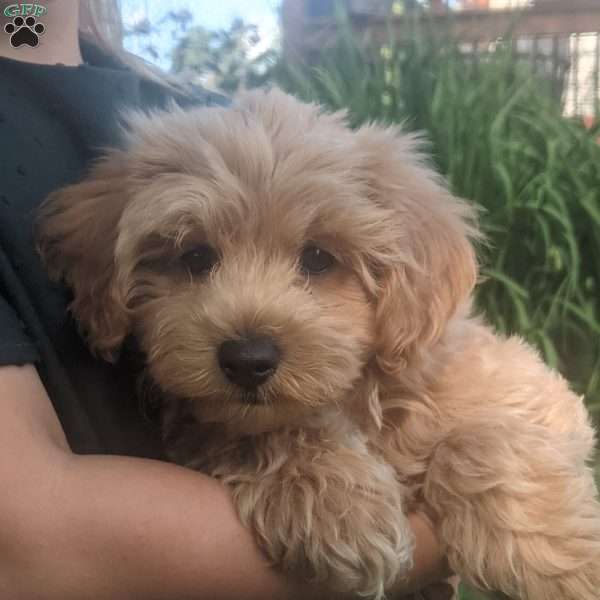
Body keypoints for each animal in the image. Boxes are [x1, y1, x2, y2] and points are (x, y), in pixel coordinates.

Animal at [37, 89, 600, 600]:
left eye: (318, 258)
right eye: (194, 257)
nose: (248, 360)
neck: (361, 394)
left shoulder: (536, 393)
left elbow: (481, 438)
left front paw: (560, 561)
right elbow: (264, 430)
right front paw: (341, 508)